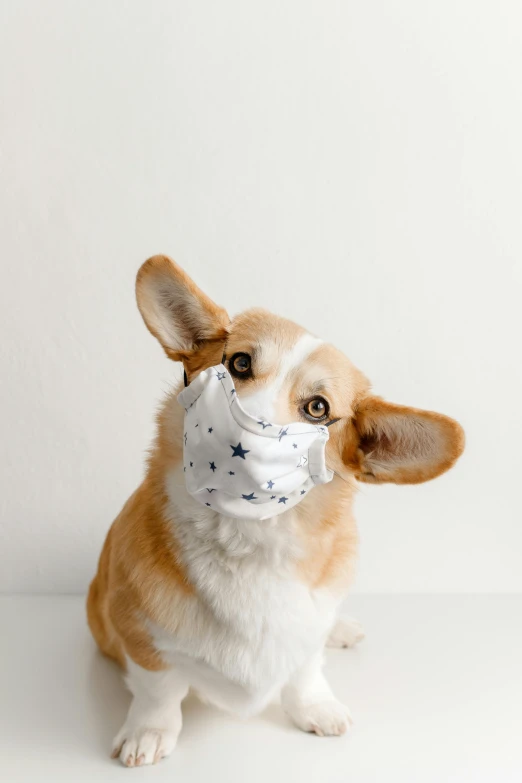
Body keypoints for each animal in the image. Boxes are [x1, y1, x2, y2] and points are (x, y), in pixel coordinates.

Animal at [86, 256, 464, 764]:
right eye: (240, 362)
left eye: (318, 408)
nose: (243, 438)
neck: (247, 540)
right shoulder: (139, 634)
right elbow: (158, 689)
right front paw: (149, 732)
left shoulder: (307, 635)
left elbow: (305, 670)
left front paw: (317, 708)